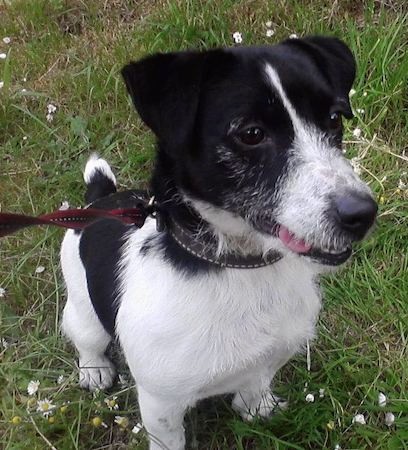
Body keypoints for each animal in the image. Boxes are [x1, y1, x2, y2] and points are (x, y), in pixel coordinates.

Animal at [60, 37, 380, 448]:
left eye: (335, 118)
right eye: (251, 134)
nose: (362, 214)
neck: (238, 266)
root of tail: (100, 198)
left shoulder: (270, 356)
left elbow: (255, 386)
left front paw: (257, 410)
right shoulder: (160, 402)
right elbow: (169, 439)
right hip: (84, 313)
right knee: (85, 338)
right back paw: (94, 369)